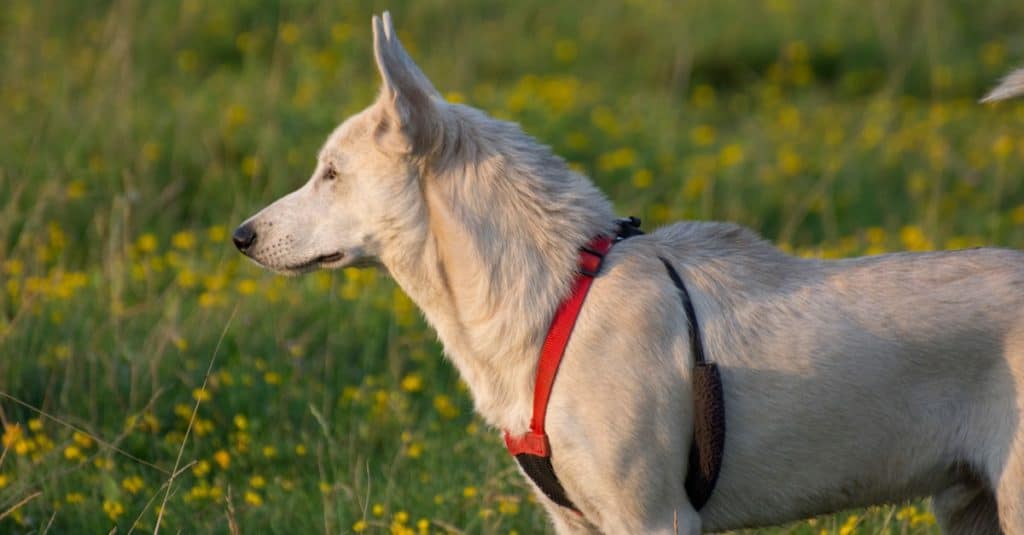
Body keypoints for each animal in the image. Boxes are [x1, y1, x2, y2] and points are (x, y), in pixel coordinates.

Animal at [235, 12, 1024, 532]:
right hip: (972, 508)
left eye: (331, 174)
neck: (554, 299)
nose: (241, 236)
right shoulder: (575, 522)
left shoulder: (656, 517)